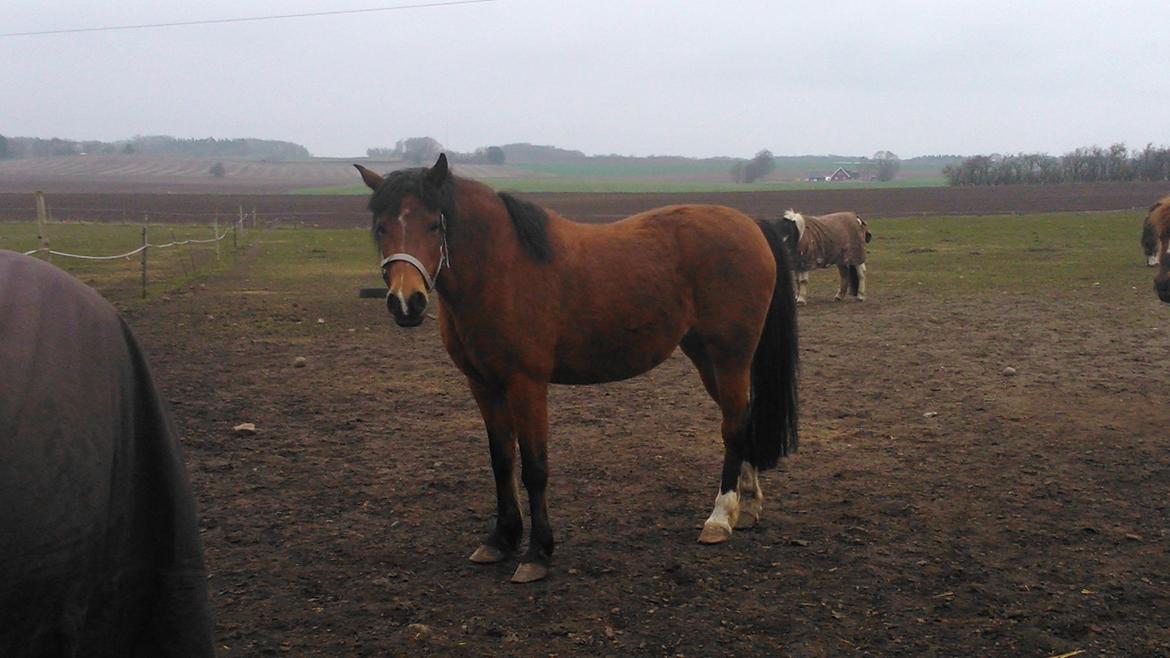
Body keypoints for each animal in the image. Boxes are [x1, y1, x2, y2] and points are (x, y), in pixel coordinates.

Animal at [351, 154, 800, 583]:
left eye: (432, 225)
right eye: (381, 227)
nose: (406, 302)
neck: (501, 269)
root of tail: (749, 224)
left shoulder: (526, 384)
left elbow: (534, 467)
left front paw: (537, 553)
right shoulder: (483, 384)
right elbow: (501, 461)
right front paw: (501, 539)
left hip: (729, 357)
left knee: (733, 428)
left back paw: (720, 517)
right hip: (707, 358)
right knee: (742, 419)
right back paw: (747, 507)